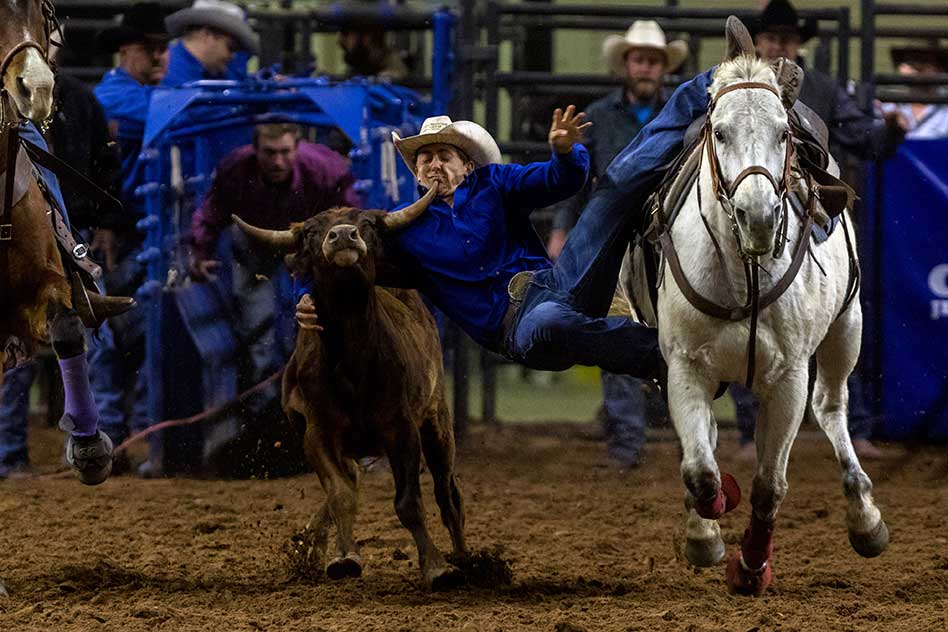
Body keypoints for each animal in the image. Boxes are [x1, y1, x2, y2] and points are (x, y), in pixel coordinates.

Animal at [624, 51, 888, 596]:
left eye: (783, 133)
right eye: (720, 132)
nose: (759, 217)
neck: (740, 271)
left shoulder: (787, 377)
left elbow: (770, 486)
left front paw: (750, 567)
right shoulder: (683, 367)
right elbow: (700, 471)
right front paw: (706, 533)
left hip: (846, 330)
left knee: (831, 407)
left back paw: (864, 517)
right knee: (705, 444)